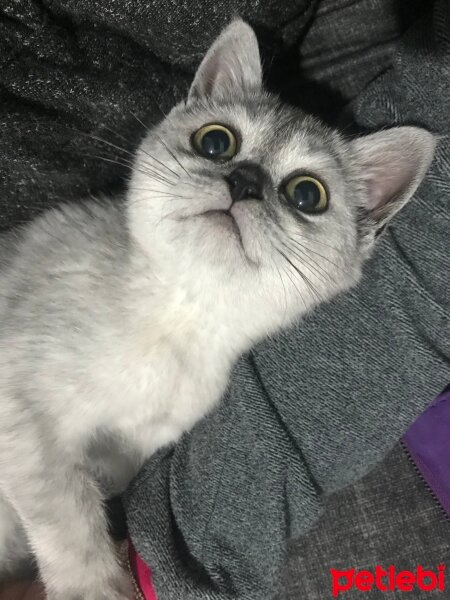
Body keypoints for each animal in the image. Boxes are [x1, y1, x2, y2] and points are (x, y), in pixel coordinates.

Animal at [0, 18, 436, 600]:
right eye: (215, 141)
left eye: (307, 194)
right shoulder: (21, 416)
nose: (244, 180)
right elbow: (69, 517)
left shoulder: (132, 446)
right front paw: (93, 585)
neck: (175, 319)